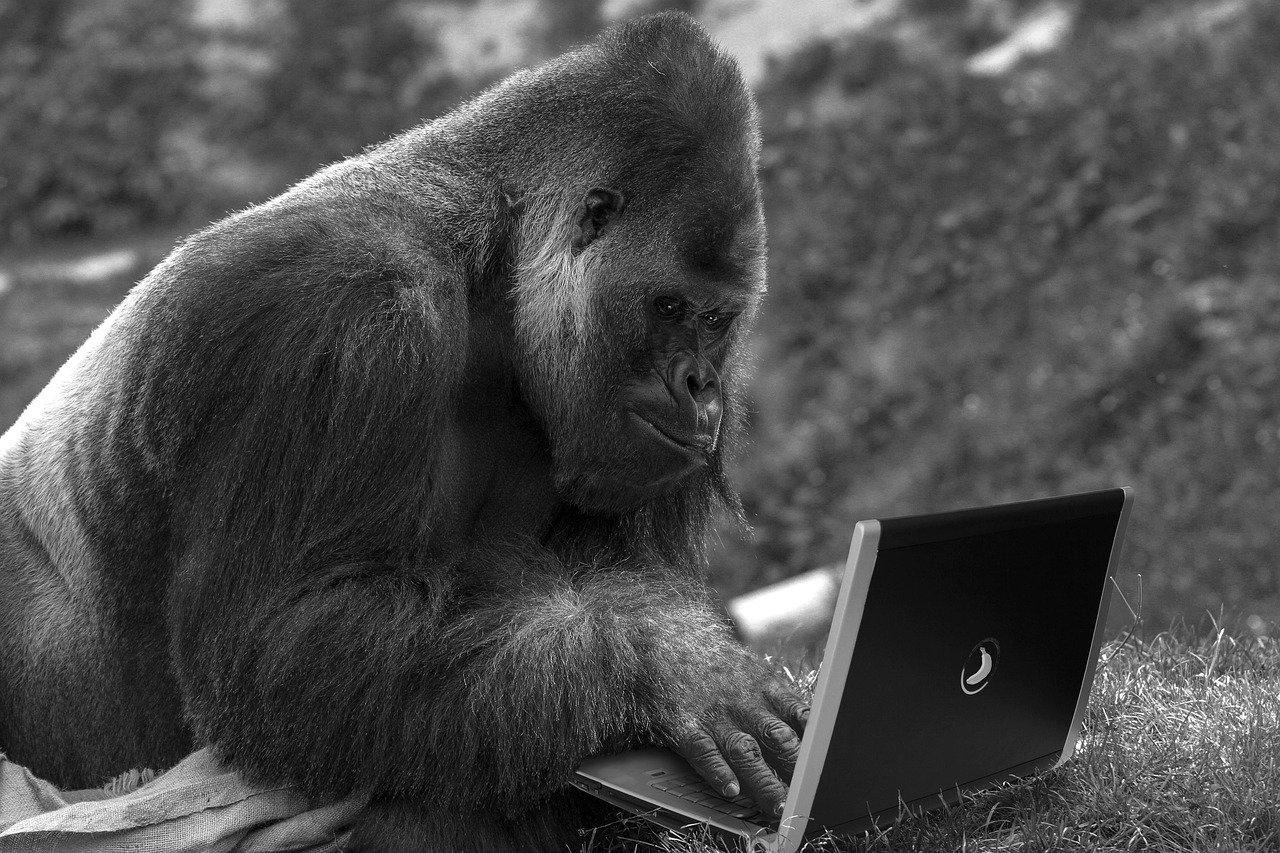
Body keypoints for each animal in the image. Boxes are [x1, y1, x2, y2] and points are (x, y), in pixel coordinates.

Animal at [0, 12, 807, 851]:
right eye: (668, 306)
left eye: (717, 320)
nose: (700, 386)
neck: (495, 262)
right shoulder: (336, 311)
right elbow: (281, 644)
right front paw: (668, 663)